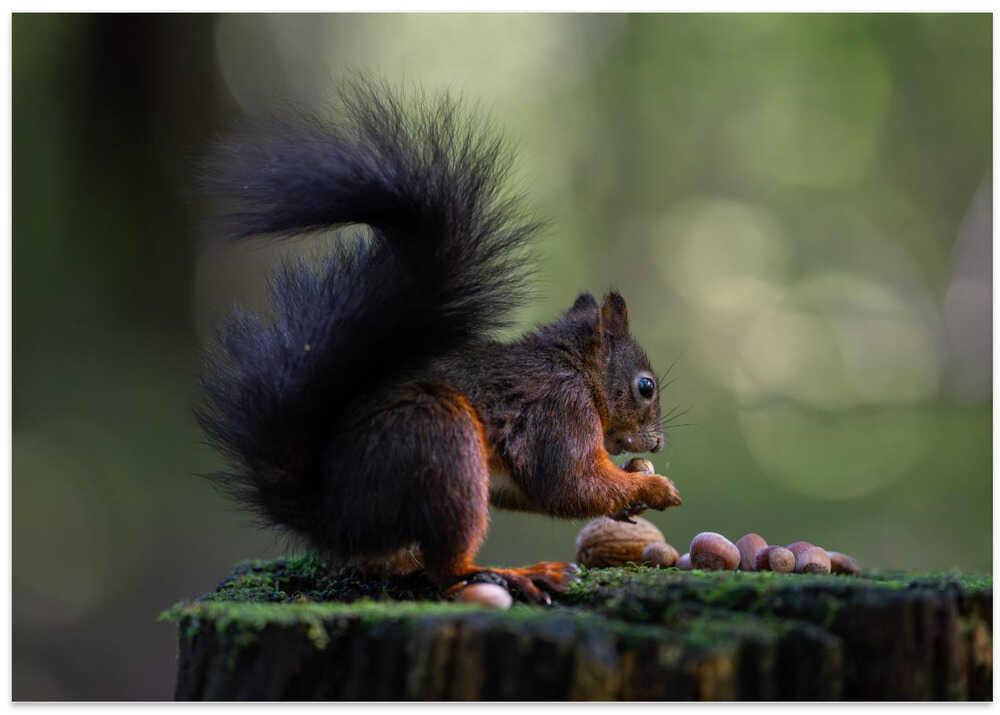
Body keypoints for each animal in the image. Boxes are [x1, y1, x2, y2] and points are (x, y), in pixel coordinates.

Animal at [196, 80, 682, 605]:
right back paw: (514, 575)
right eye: (646, 387)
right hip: (440, 443)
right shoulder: (559, 409)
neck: (577, 370)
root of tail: (333, 515)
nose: (656, 444)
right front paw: (652, 489)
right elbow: (568, 483)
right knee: (447, 568)